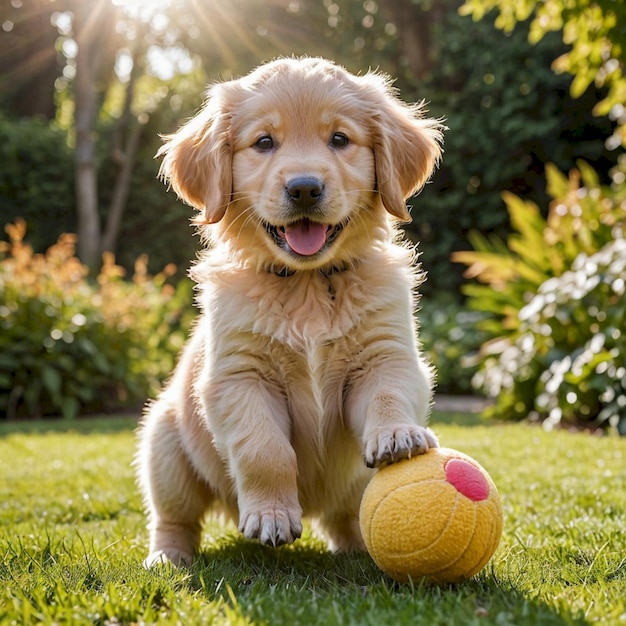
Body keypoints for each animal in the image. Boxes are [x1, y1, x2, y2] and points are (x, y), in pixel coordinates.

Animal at [138, 57, 444, 564]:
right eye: (264, 142)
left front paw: (397, 435)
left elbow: (388, 394)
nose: (304, 189)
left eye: (339, 139)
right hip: (163, 443)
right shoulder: (240, 377)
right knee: (174, 517)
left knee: (347, 518)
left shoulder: (386, 354)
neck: (307, 283)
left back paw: (359, 549)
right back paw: (168, 556)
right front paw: (272, 516)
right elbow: (265, 450)